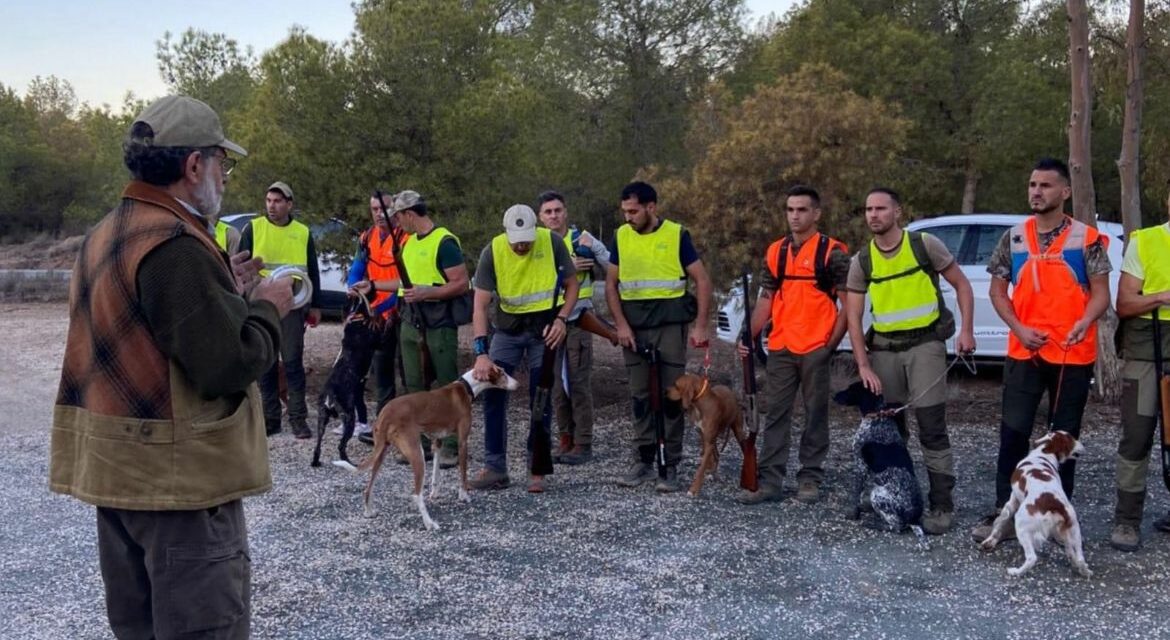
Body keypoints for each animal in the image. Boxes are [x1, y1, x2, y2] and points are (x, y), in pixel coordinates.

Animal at [311, 291, 383, 470]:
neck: (355, 317)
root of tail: (330, 394)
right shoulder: (378, 341)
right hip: (349, 418)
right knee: (341, 446)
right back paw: (349, 462)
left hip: (322, 419)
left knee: (317, 445)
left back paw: (316, 462)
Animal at [355, 367, 517, 533]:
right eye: (502, 373)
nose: (517, 384)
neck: (466, 387)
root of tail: (386, 413)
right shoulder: (462, 442)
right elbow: (463, 474)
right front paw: (464, 495)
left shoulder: (437, 440)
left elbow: (436, 472)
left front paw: (435, 493)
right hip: (417, 454)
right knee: (416, 495)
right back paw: (429, 523)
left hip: (380, 452)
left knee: (368, 488)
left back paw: (369, 512)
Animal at [837, 383, 926, 547]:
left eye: (851, 389)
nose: (834, 396)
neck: (878, 417)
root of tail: (914, 519)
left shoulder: (861, 465)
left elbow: (857, 493)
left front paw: (854, 511)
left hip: (876, 494)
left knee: (896, 527)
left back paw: (875, 524)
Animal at [973, 432, 1090, 577]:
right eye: (1072, 439)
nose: (1083, 445)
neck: (1044, 453)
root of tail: (1054, 505)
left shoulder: (1012, 501)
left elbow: (1000, 521)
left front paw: (989, 541)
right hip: (1074, 529)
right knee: (1080, 558)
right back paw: (1085, 571)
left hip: (1021, 525)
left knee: (1031, 558)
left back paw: (1016, 571)